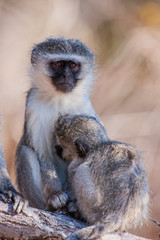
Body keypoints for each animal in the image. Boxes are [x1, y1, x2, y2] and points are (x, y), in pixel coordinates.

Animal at [15, 37, 106, 210]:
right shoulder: (33, 105)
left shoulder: (84, 104)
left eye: (73, 65)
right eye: (58, 64)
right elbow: (41, 153)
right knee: (26, 152)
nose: (66, 75)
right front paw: (56, 194)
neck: (60, 98)